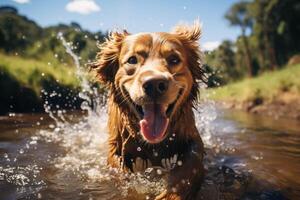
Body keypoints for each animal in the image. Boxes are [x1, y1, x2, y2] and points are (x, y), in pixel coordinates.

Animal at [92, 21, 205, 199]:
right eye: (132, 60)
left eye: (174, 59)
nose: (154, 85)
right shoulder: (116, 145)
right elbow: (119, 170)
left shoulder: (191, 136)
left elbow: (190, 165)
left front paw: (171, 194)